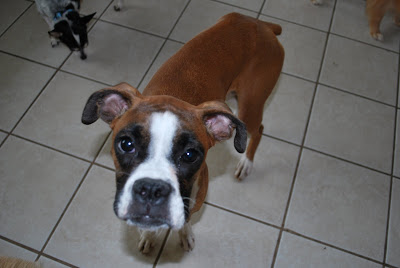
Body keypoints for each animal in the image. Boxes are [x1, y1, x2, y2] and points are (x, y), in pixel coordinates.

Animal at [80, 13, 284, 253]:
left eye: (190, 154)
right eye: (126, 144)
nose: (151, 189)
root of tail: (259, 23)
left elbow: (185, 220)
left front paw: (184, 235)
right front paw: (149, 235)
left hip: (250, 107)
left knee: (259, 130)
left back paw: (246, 163)